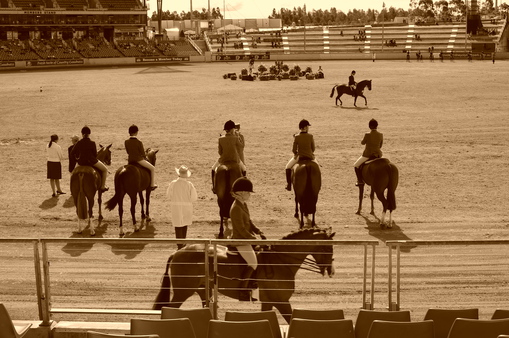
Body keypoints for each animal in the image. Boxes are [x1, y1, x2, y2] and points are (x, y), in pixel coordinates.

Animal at [153, 227, 336, 322]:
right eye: (327, 247)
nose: (330, 271)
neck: (281, 260)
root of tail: (178, 252)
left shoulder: (269, 301)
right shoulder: (281, 300)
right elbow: (289, 318)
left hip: (201, 290)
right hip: (183, 292)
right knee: (169, 309)